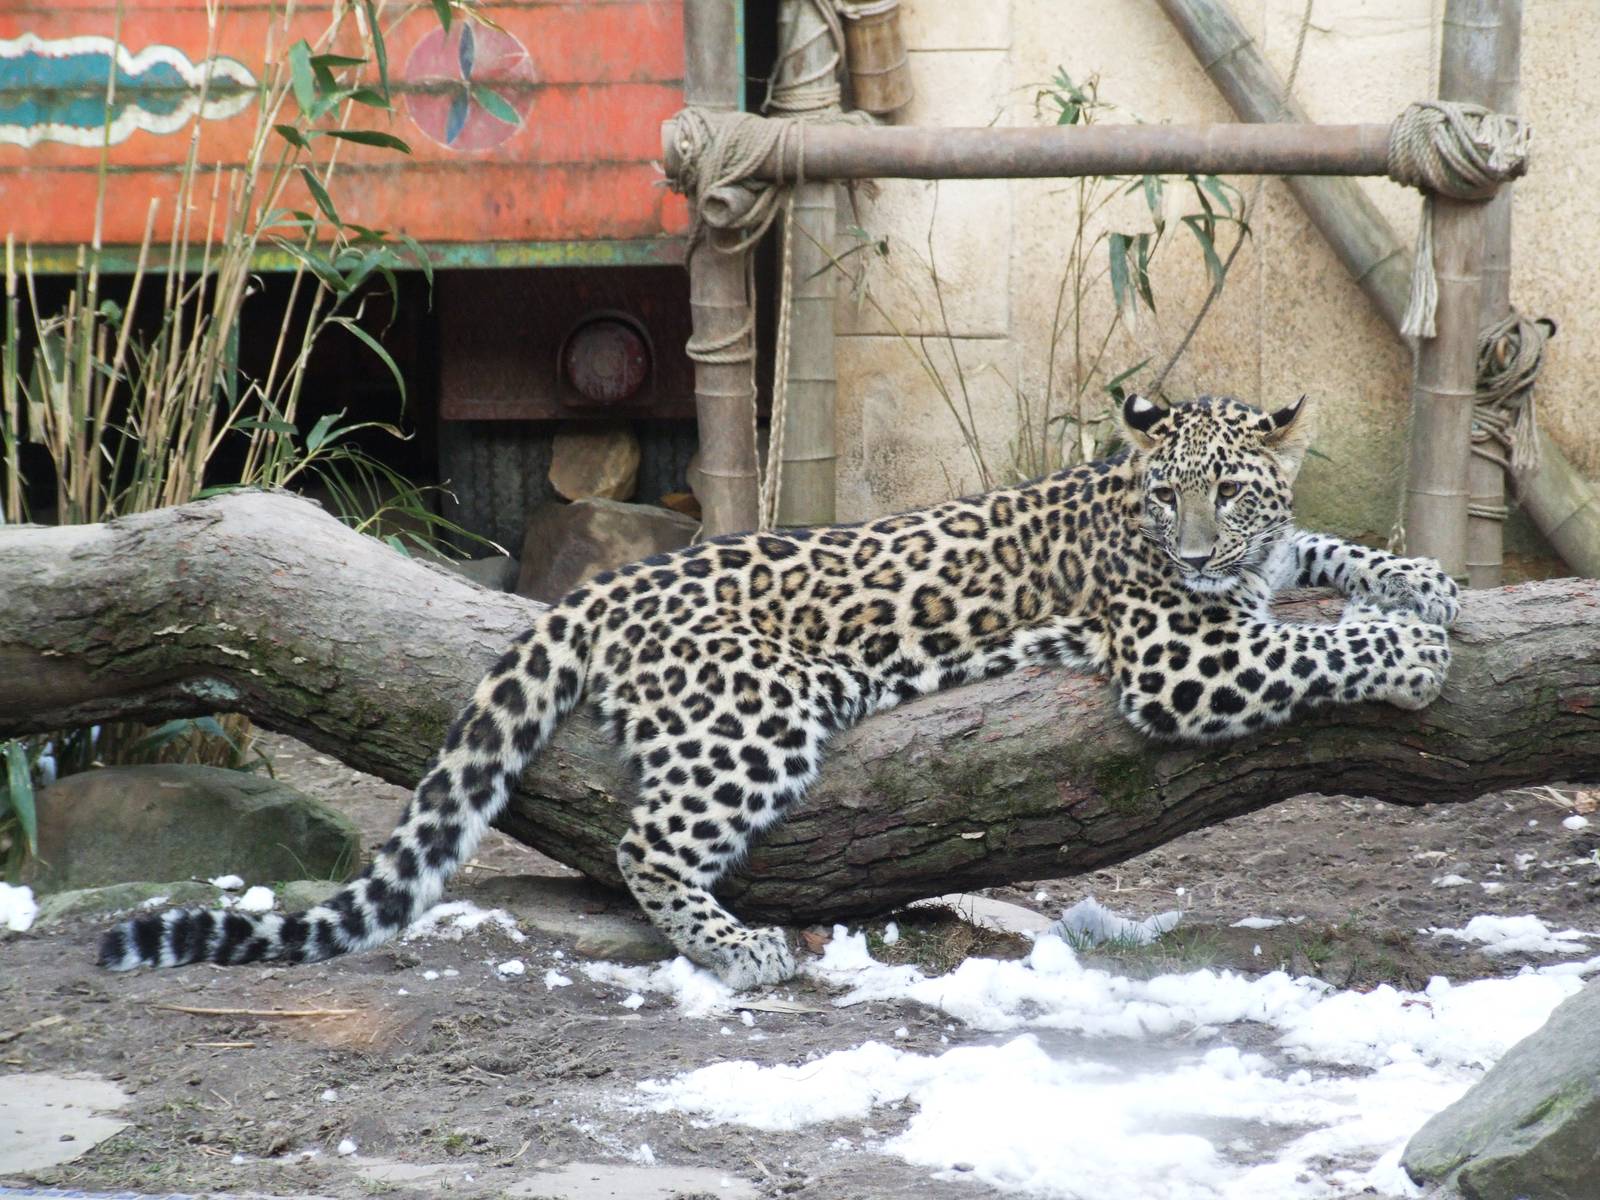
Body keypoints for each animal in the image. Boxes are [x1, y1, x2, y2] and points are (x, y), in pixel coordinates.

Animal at [99, 393, 1458, 989]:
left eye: (1227, 489)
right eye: (1166, 496)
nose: (1194, 550)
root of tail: (604, 591)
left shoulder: (1262, 568)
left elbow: (1322, 553)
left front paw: (1425, 579)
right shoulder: (1177, 656)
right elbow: (1305, 648)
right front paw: (1409, 651)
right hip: (759, 712)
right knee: (646, 842)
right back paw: (739, 949)